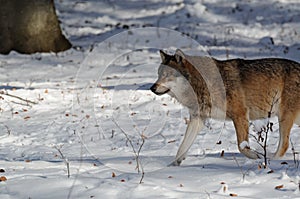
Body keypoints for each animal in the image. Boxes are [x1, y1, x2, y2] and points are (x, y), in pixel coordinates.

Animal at [151, 49, 300, 166]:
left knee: (284, 145)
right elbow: (182, 148)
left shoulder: (240, 115)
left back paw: (271, 161)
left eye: (167, 75)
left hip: (284, 118)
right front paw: (172, 167)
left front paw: (256, 157)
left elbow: (241, 146)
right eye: (159, 74)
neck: (203, 83)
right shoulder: (198, 119)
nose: (152, 88)